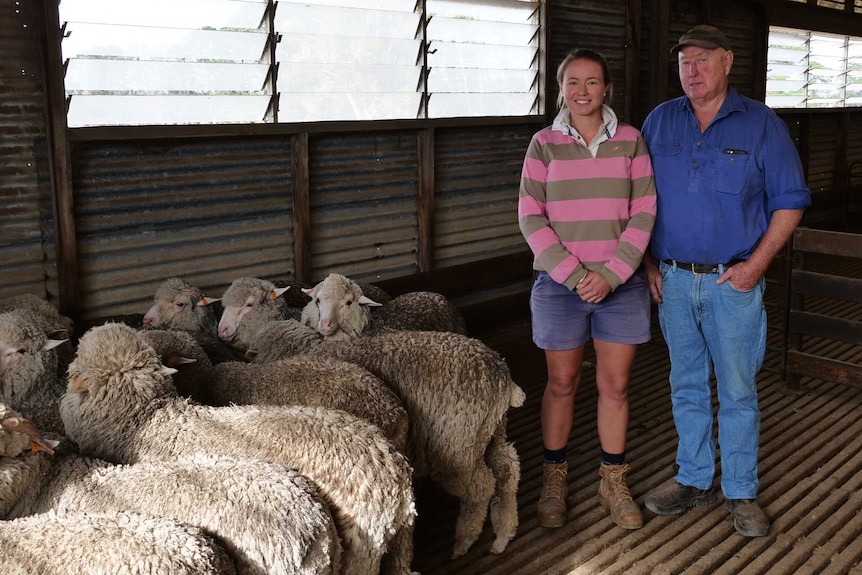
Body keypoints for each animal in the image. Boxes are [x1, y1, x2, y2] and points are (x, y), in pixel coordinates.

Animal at [246, 320, 524, 560]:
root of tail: (503, 377)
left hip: (457, 446)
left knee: (481, 487)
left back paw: (464, 541)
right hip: (490, 432)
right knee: (507, 469)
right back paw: (503, 535)